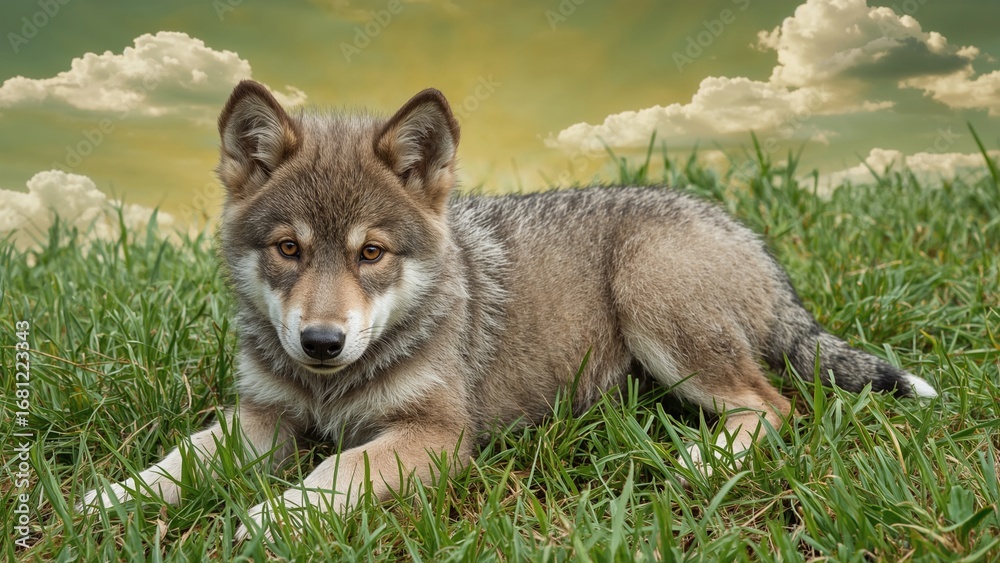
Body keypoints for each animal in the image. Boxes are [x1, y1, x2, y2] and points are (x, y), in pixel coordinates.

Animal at [82, 80, 936, 539]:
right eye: (289, 248)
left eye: (371, 253)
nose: (321, 341)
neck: (332, 388)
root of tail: (745, 234)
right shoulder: (262, 417)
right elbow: (177, 461)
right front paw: (106, 498)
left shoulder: (434, 436)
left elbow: (335, 470)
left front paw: (275, 518)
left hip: (653, 301)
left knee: (773, 405)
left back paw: (700, 460)